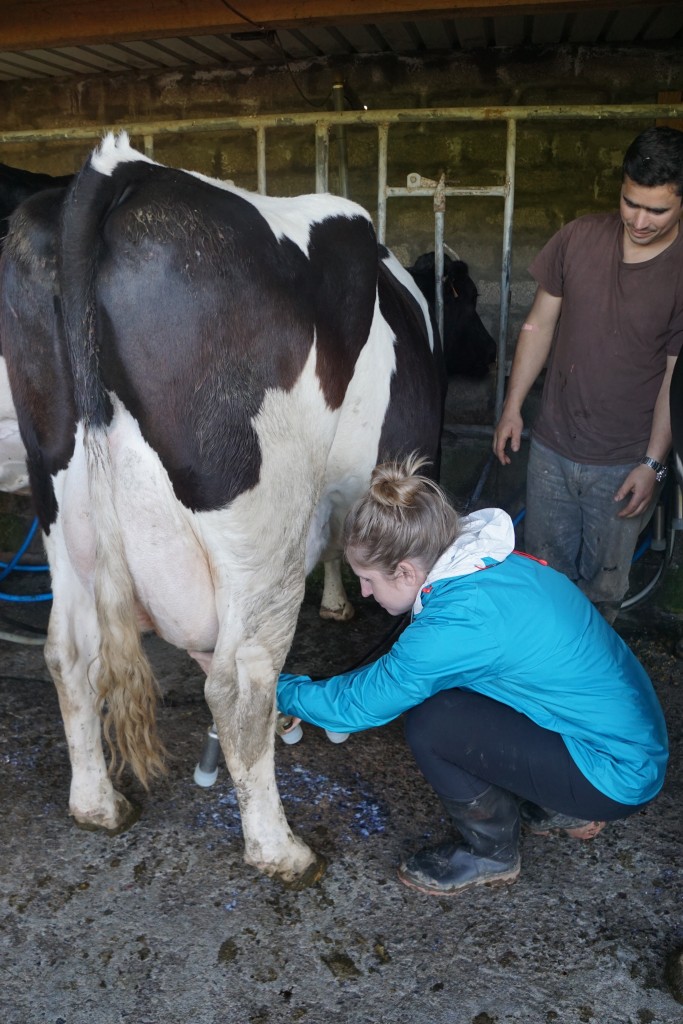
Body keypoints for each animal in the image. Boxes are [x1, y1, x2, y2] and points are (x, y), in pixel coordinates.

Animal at [0, 134, 446, 888]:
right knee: (241, 683)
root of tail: (117, 170)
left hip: (63, 497)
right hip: (258, 519)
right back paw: (281, 849)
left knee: (71, 651)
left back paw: (98, 805)